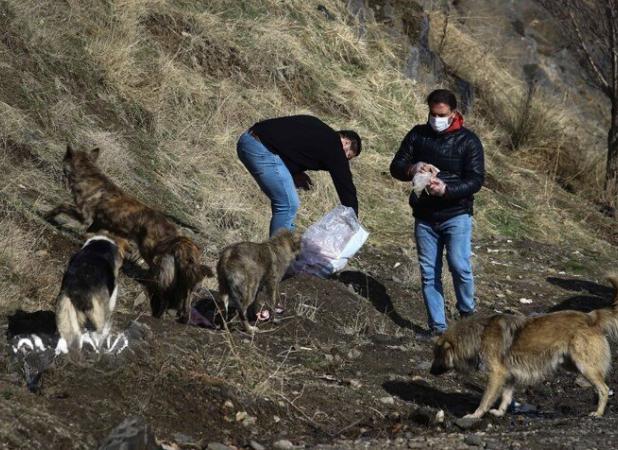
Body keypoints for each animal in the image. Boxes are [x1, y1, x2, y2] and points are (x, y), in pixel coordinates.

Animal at [47, 146, 213, 322]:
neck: (89, 174)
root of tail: (178, 236)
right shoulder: (98, 222)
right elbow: (93, 232)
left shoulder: (84, 215)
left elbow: (62, 206)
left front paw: (48, 215)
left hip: (150, 251)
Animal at [428, 276, 616, 420]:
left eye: (437, 355)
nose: (430, 372)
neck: (479, 334)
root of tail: (591, 317)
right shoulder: (509, 374)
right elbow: (506, 395)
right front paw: (500, 412)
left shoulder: (496, 373)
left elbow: (486, 398)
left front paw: (476, 415)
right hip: (571, 363)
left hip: (584, 365)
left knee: (604, 389)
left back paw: (598, 413)